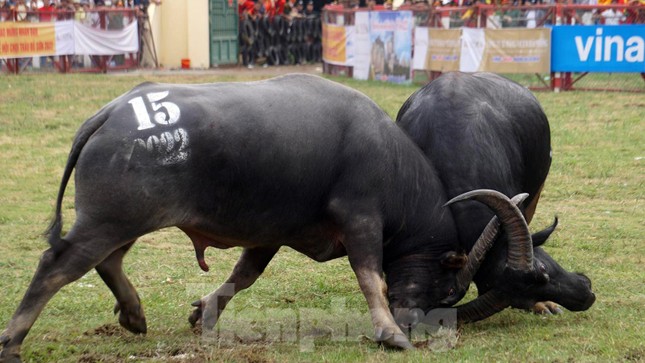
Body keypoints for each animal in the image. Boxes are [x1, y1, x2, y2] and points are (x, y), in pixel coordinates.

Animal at [0, 73, 520, 362]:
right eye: (449, 290)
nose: (420, 325)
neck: (388, 160)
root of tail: (109, 113)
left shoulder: (271, 234)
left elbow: (243, 275)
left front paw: (204, 312)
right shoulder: (362, 219)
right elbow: (371, 276)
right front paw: (390, 334)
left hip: (125, 221)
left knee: (107, 262)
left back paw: (134, 315)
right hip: (108, 220)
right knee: (56, 268)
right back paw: (13, 340)